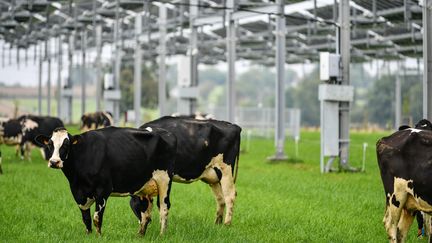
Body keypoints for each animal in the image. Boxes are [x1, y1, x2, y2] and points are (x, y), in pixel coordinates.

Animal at [35, 126, 176, 236]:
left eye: (66, 144)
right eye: (50, 144)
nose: (54, 162)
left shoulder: (102, 190)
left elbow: (97, 218)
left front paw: (98, 236)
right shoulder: (78, 192)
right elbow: (86, 218)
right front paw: (88, 235)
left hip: (164, 180)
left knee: (164, 207)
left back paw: (162, 235)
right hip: (143, 188)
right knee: (145, 213)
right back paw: (140, 235)